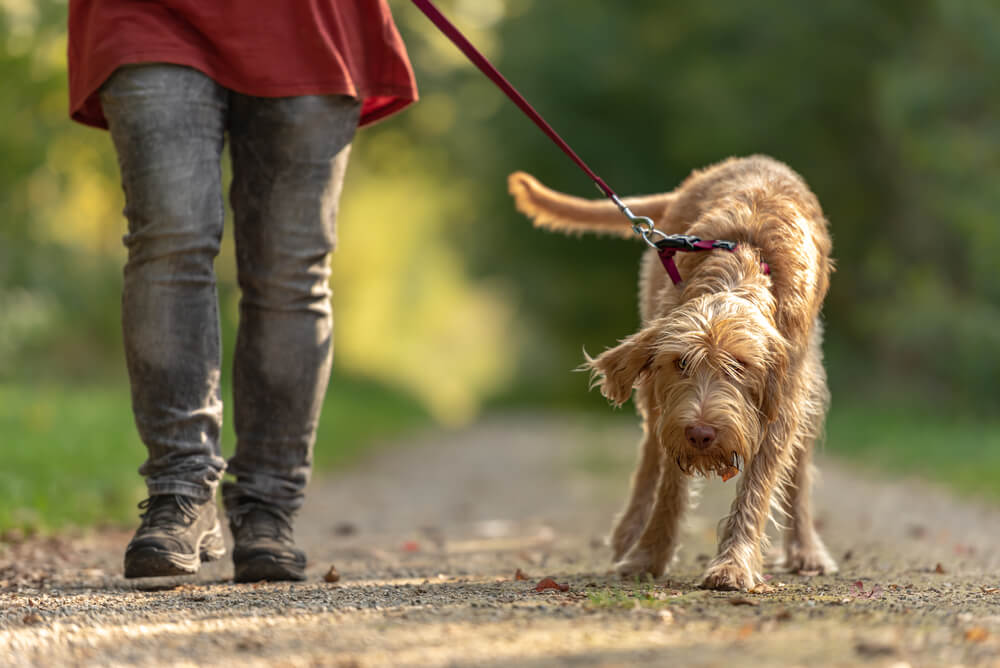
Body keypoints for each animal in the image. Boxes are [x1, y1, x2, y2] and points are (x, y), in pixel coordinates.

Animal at [508, 155, 836, 588]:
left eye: (740, 365)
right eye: (681, 363)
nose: (701, 433)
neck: (739, 266)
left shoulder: (780, 400)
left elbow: (757, 485)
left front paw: (733, 563)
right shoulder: (672, 404)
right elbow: (670, 484)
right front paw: (649, 554)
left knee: (797, 471)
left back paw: (807, 550)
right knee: (650, 453)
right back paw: (629, 532)